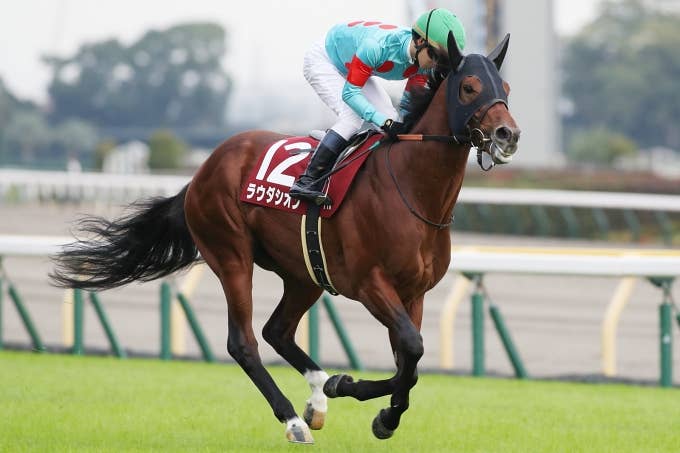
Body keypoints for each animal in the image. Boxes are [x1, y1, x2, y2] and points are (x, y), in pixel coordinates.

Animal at [51, 32, 520, 444]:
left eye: (506, 88)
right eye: (470, 87)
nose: (508, 135)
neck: (411, 187)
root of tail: (203, 170)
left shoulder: (414, 292)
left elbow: (412, 361)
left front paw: (373, 410)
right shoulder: (371, 284)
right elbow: (412, 350)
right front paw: (354, 392)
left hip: (304, 272)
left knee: (277, 330)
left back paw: (317, 396)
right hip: (231, 255)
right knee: (243, 342)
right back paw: (294, 419)